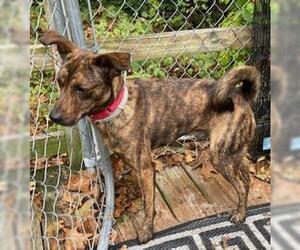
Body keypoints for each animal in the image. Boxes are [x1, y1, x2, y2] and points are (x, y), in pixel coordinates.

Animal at [39, 30, 260, 243]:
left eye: (81, 90)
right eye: (59, 83)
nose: (53, 117)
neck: (118, 107)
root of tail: (242, 96)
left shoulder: (145, 168)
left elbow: (148, 203)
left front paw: (147, 231)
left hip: (220, 154)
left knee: (241, 186)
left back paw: (240, 214)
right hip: (234, 152)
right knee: (247, 177)